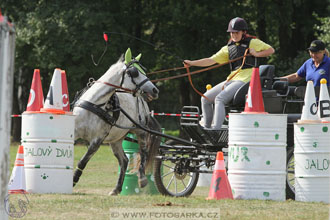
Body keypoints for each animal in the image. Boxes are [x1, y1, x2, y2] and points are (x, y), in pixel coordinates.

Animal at [72, 49, 161, 195]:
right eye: (135, 73)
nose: (155, 90)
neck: (96, 104)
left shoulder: (97, 140)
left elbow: (83, 161)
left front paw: (73, 180)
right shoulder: (74, 132)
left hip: (140, 130)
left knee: (143, 152)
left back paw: (142, 179)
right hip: (116, 139)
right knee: (124, 160)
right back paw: (117, 188)